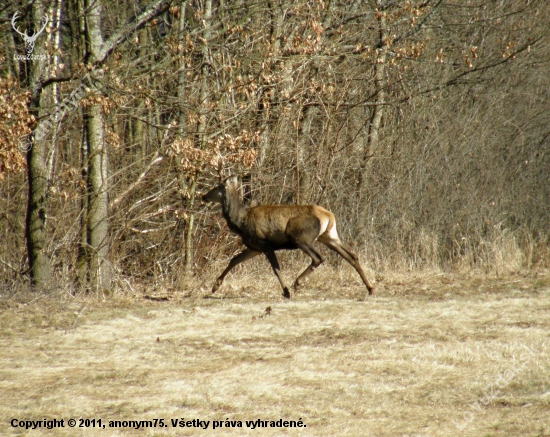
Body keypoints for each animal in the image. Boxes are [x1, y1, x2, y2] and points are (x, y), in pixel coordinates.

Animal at [203, 172, 376, 298]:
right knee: (352, 256)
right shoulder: (255, 247)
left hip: (301, 237)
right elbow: (234, 260)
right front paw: (215, 287)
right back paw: (370, 288)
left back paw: (297, 283)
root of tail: (328, 215)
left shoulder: (264, 243)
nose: (203, 196)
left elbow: (276, 268)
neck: (240, 221)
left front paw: (286, 291)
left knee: (319, 257)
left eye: (217, 186)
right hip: (329, 236)